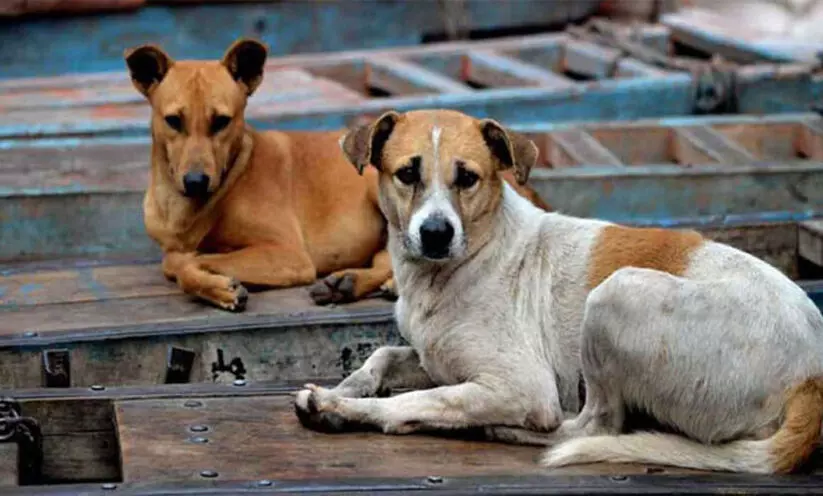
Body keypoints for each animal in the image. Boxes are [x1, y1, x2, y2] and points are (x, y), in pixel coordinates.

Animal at [125, 37, 552, 310]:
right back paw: (351, 283)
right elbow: (178, 258)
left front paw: (218, 285)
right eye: (174, 121)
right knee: (385, 256)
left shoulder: (288, 254)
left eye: (221, 122)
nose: (196, 182)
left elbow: (180, 263)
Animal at [296, 109, 823, 476]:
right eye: (408, 174)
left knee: (591, 426)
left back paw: (501, 429)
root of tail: (811, 376)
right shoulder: (435, 357)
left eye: (467, 178)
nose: (437, 234)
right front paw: (350, 385)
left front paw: (341, 407)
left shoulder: (523, 386)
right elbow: (384, 355)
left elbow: (418, 401)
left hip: (615, 295)